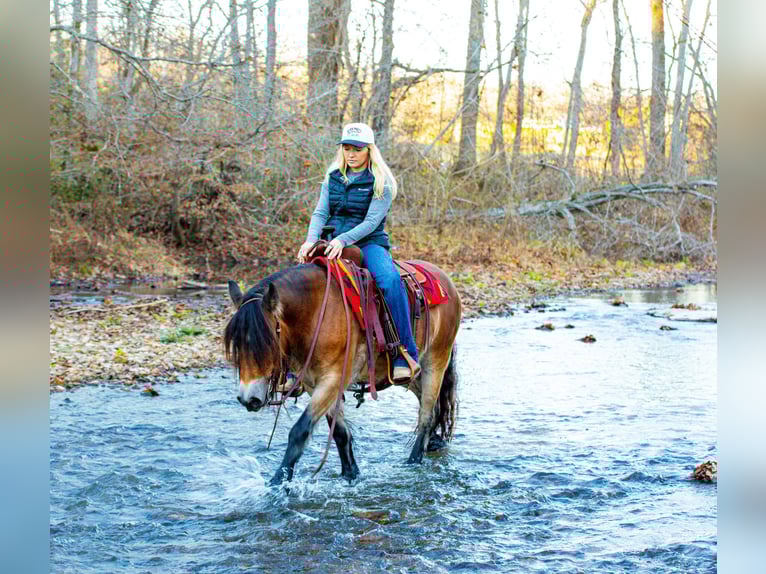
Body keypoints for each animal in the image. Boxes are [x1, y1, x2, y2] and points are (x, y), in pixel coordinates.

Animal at [224, 258, 461, 485]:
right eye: (237, 346)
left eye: (266, 343)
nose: (248, 399)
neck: (316, 313)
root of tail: (447, 282)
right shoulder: (314, 384)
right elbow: (339, 432)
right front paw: (351, 474)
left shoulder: (333, 379)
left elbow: (300, 431)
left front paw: (277, 482)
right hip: (412, 376)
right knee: (432, 407)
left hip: (435, 361)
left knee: (427, 415)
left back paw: (413, 462)